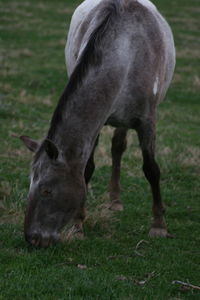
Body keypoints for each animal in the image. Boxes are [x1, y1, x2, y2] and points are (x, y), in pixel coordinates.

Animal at [20, 0, 175, 247]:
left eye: (46, 190)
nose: (32, 238)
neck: (127, 53)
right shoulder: (97, 124)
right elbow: (86, 169)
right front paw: (78, 226)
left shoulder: (147, 121)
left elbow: (151, 169)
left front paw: (159, 225)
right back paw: (114, 199)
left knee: (119, 146)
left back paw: (116, 200)